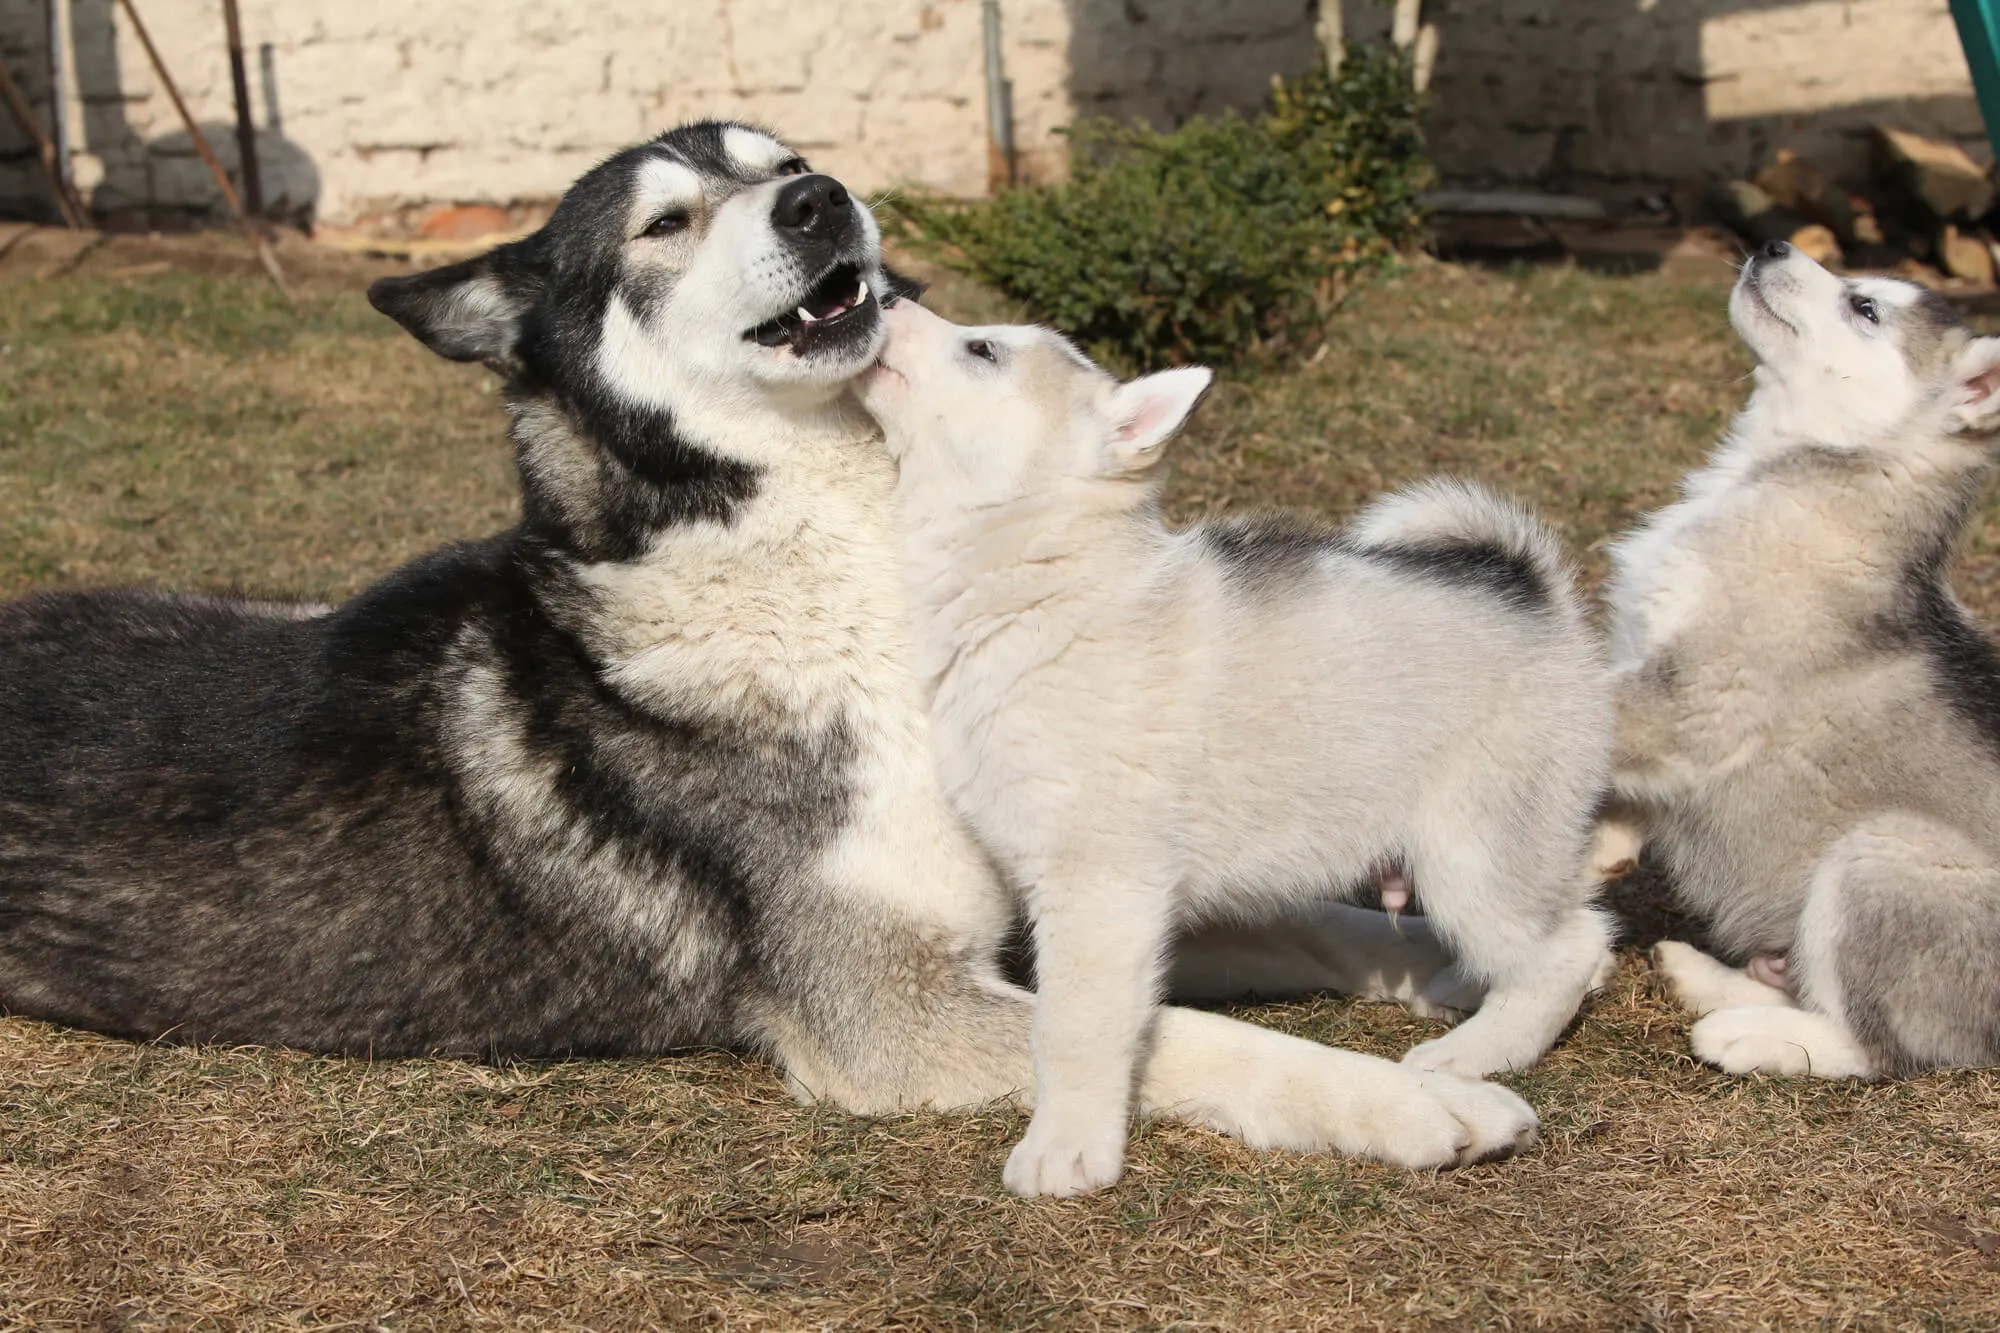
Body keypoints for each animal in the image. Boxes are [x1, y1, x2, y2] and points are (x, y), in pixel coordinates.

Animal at [0, 124, 1528, 1176]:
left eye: (783, 163)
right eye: (666, 220)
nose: (821, 198)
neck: (847, 576)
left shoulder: (1061, 890)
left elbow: (1298, 924)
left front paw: (1457, 973)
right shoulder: (886, 1008)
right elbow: (1182, 1034)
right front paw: (1423, 1100)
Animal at [856, 300, 1608, 1192]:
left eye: (982, 350)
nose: (885, 298)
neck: (1048, 582)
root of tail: (1536, 594)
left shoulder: (1101, 887)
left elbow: (1072, 1026)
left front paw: (1065, 1149)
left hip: (1475, 853)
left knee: (1570, 949)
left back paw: (1476, 1051)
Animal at [1600, 241, 2000, 1080]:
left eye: (1865, 307)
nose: (1774, 244)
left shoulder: (1694, 696)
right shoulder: (1665, 688)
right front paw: (1607, 846)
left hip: (1885, 858)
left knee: (1877, 1046)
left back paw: (1747, 1032)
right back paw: (1707, 976)